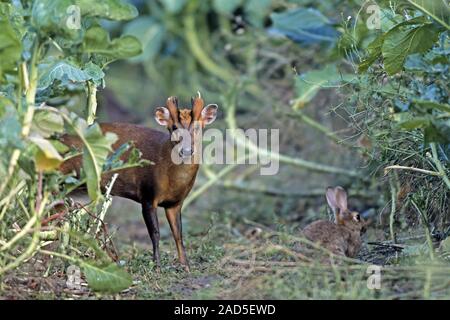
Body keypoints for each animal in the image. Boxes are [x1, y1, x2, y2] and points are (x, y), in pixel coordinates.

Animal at [60, 94, 219, 272]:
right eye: (174, 127)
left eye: (197, 127)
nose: (186, 151)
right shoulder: (147, 194)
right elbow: (155, 233)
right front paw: (157, 266)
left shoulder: (175, 203)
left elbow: (178, 234)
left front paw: (186, 265)